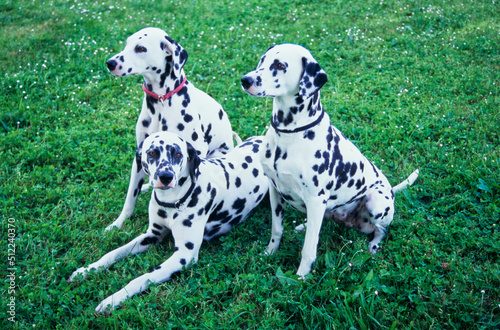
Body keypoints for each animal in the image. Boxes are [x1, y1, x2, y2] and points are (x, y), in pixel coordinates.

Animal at [69, 131, 270, 312]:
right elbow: (113, 253)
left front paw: (113, 299)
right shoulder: (151, 235)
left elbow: (141, 278)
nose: (165, 177)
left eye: (178, 154)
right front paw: (87, 270)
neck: (173, 201)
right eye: (151, 153)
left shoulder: (184, 256)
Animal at [105, 26, 234, 232]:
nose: (110, 63)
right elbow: (130, 197)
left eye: (140, 48)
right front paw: (118, 223)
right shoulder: (139, 155)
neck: (161, 102)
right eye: (126, 44)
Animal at [242, 44, 418, 278]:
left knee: (381, 229)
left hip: (376, 201)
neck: (289, 134)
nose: (245, 80)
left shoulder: (316, 199)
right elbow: (277, 229)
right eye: (262, 60)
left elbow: (308, 248)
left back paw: (373, 245)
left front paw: (301, 277)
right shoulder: (275, 190)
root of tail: (391, 190)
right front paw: (269, 253)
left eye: (279, 65)